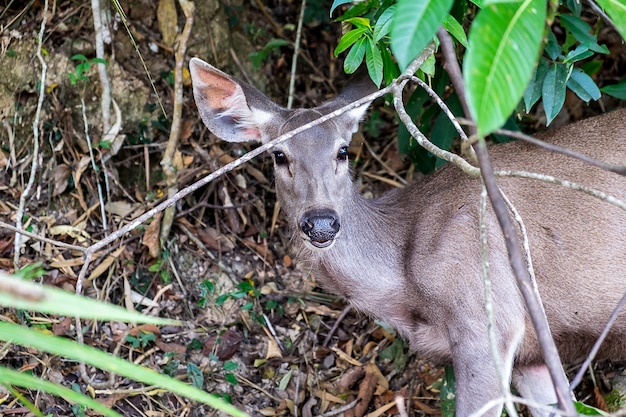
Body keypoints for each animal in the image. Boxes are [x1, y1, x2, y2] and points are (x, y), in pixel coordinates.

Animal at [189, 56, 624, 416]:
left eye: (342, 151)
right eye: (279, 155)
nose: (321, 222)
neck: (407, 286)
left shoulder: (487, 313)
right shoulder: (532, 354)